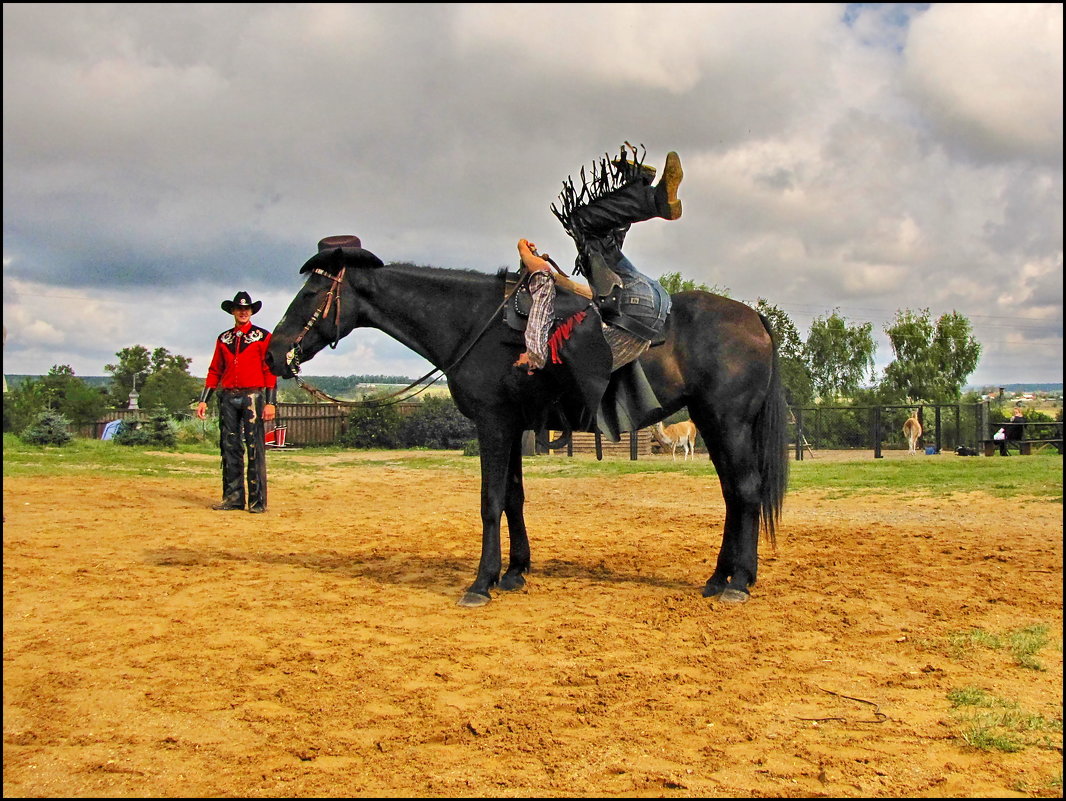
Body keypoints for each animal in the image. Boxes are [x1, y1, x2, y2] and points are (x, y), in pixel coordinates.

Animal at [265, 244, 784, 605]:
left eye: (311, 293)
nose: (272, 354)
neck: (473, 324)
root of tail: (754, 319)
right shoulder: (512, 427)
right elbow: (514, 496)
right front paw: (514, 572)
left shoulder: (493, 424)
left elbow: (490, 501)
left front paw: (481, 582)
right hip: (712, 425)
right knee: (732, 495)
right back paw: (718, 578)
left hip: (728, 422)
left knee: (746, 490)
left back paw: (739, 582)